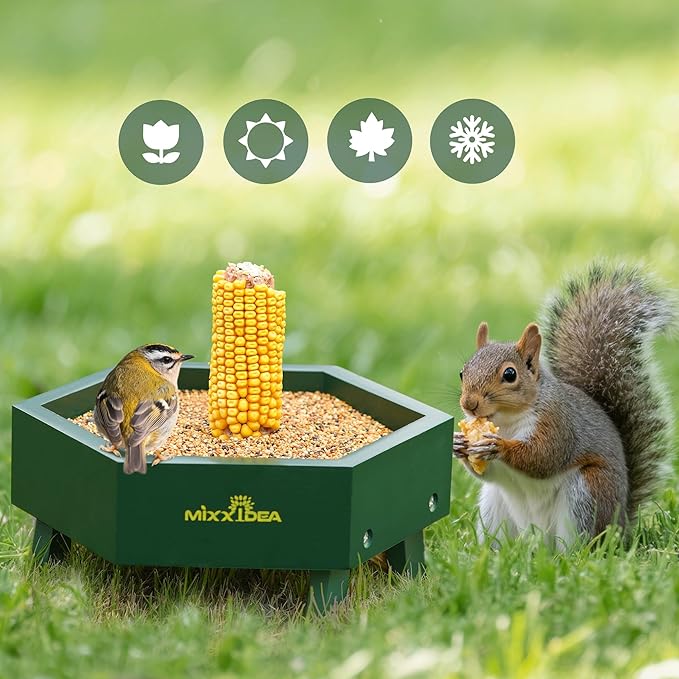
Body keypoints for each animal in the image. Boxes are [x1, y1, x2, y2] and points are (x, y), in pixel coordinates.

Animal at [453, 262, 675, 545]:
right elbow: (487, 473)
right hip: (494, 507)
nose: (469, 404)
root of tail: (621, 525)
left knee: (580, 543)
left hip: (587, 494)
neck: (506, 420)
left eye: (510, 374)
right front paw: (459, 444)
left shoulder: (558, 422)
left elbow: (543, 457)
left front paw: (499, 445)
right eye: (462, 372)